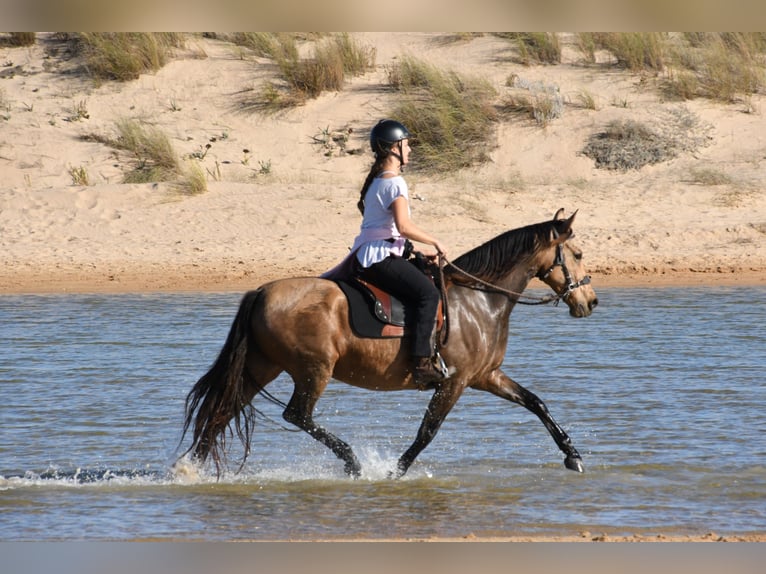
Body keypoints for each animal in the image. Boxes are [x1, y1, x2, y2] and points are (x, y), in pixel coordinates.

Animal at [182, 209, 600, 480]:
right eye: (578, 254)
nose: (591, 301)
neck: (479, 299)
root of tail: (263, 291)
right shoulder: (455, 381)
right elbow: (427, 432)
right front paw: (394, 472)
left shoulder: (485, 376)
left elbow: (536, 403)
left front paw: (573, 455)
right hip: (314, 370)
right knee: (296, 415)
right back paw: (352, 463)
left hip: (262, 366)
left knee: (222, 411)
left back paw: (190, 470)